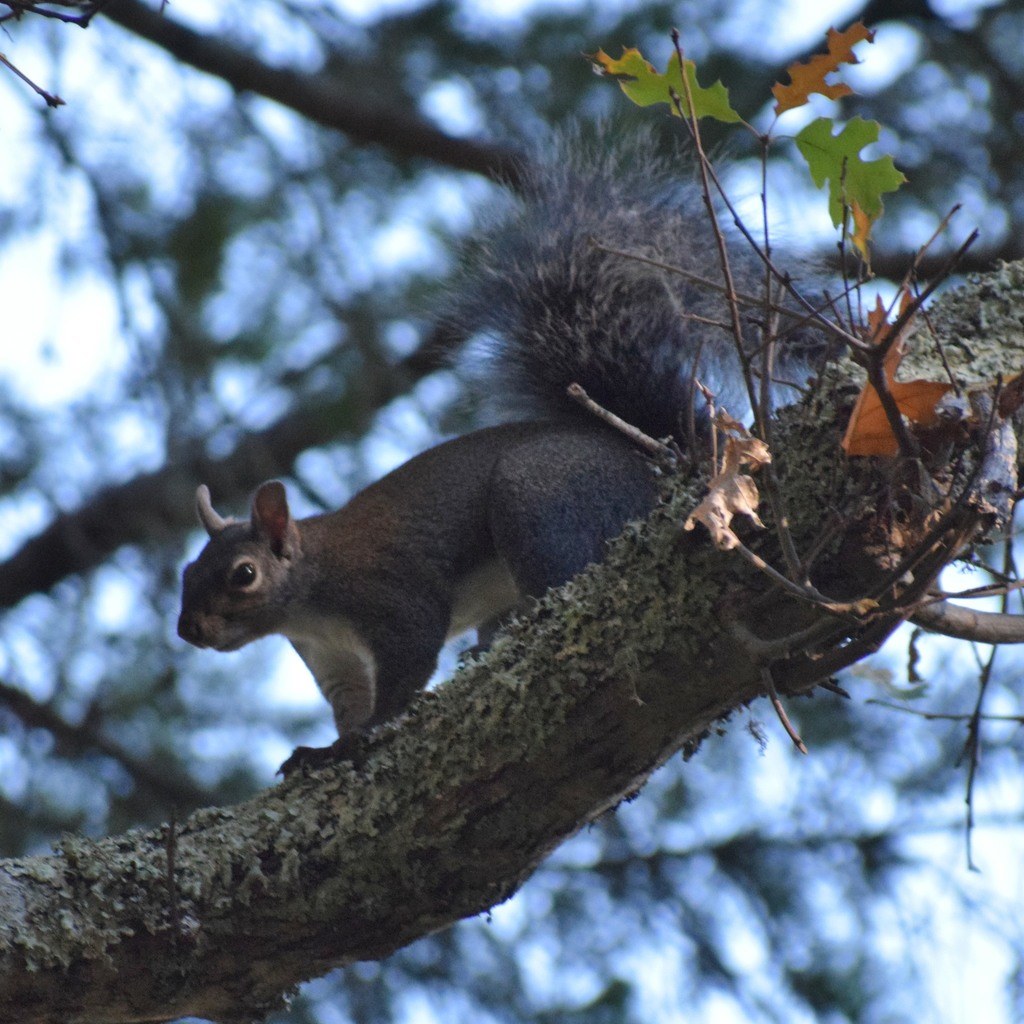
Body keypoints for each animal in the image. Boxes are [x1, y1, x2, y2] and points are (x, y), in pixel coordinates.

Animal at [176, 133, 818, 767]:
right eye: (187, 571)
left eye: (243, 574)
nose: (188, 631)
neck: (310, 599)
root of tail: (665, 468)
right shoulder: (332, 660)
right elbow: (349, 703)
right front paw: (322, 751)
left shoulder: (390, 596)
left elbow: (408, 662)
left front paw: (364, 737)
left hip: (537, 500)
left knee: (562, 579)